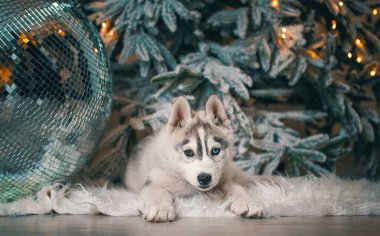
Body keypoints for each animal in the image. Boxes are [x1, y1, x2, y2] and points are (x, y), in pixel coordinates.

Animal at [124, 95, 264, 222]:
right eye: (188, 152)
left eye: (215, 150)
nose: (205, 178)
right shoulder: (152, 183)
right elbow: (157, 193)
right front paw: (160, 208)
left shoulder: (222, 179)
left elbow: (235, 187)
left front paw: (248, 202)